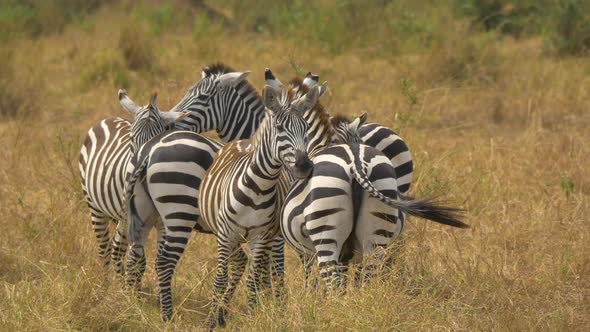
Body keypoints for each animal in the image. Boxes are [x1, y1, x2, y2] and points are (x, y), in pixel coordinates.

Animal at [77, 63, 260, 276]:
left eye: (203, 97)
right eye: (132, 139)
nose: (171, 123)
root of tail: (108, 120)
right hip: (99, 208)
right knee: (108, 250)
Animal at [198, 83, 320, 330]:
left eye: (305, 128)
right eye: (280, 128)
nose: (304, 166)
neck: (257, 188)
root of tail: (241, 140)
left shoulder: (260, 237)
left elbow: (253, 280)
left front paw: (254, 315)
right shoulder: (225, 235)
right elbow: (220, 279)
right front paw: (211, 321)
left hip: (274, 237)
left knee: (272, 272)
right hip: (227, 234)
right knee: (240, 265)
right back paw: (220, 314)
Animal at [284, 113, 470, 290]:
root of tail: (356, 164)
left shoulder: (306, 251)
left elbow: (311, 280)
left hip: (327, 232)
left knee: (334, 280)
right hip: (377, 226)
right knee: (367, 274)